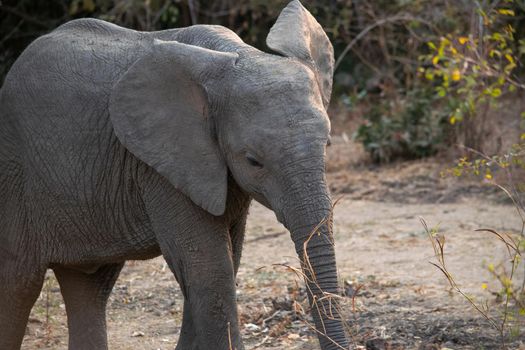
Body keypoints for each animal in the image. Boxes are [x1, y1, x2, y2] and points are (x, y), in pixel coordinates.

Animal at [0, 0, 348, 350]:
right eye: (253, 161)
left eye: (327, 144)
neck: (238, 54)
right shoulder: (163, 166)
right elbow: (210, 269)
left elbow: (225, 261)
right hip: (14, 170)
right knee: (19, 281)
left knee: (89, 284)